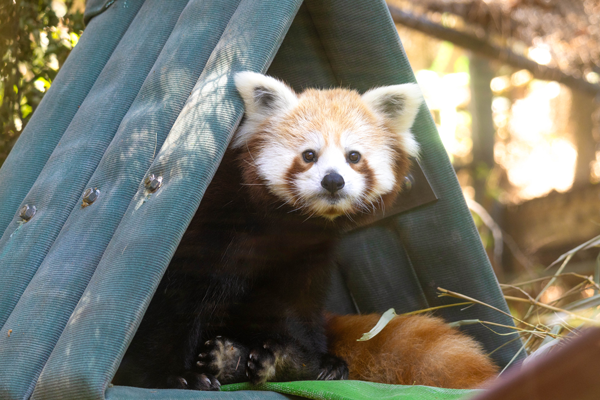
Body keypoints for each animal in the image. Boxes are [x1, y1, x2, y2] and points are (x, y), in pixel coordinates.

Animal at [113, 72, 496, 390]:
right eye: (309, 155)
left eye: (353, 156)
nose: (333, 180)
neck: (279, 226)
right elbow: (171, 305)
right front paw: (171, 374)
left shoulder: (302, 255)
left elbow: (294, 306)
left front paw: (303, 360)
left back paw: (260, 360)